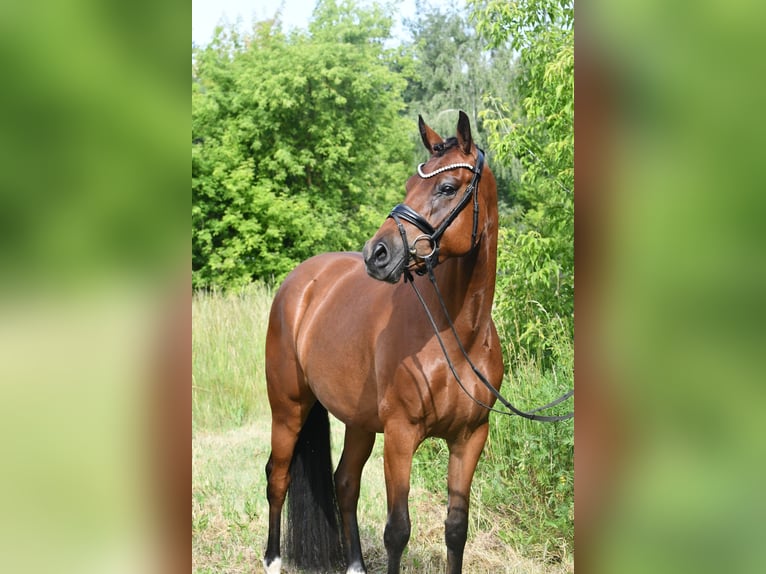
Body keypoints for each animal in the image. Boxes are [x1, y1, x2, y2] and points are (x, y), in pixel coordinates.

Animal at [263, 111, 503, 574]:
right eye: (409, 185)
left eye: (447, 187)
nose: (377, 253)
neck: (455, 335)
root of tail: (300, 282)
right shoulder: (400, 435)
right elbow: (398, 530)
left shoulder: (470, 439)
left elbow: (456, 529)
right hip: (287, 411)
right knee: (277, 477)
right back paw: (272, 559)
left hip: (358, 423)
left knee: (344, 482)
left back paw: (355, 564)